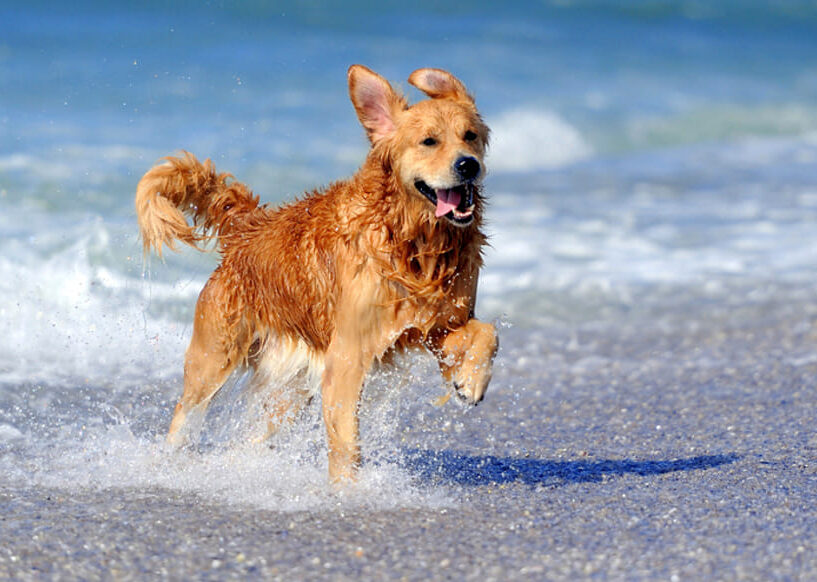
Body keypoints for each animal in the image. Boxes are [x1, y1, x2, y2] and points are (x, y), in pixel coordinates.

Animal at [134, 65, 498, 484]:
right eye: (429, 141)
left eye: (470, 136)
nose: (468, 164)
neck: (412, 241)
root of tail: (248, 229)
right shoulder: (348, 354)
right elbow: (346, 441)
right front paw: (347, 490)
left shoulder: (436, 326)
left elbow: (487, 332)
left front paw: (471, 381)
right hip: (213, 358)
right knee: (185, 414)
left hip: (291, 389)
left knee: (254, 436)